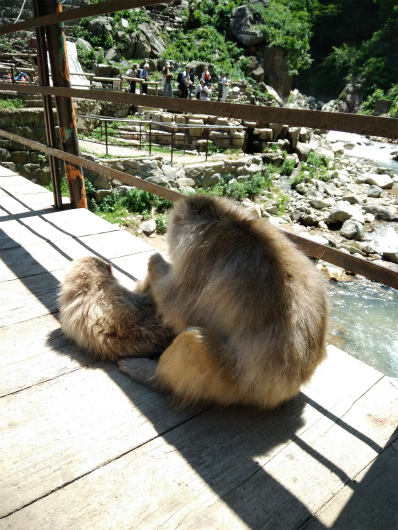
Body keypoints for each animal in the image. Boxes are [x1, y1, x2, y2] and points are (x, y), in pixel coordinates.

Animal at [119, 194, 330, 408]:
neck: (226, 218)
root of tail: (285, 391)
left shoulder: (198, 253)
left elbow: (177, 308)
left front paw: (156, 261)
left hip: (232, 385)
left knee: (194, 341)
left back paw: (149, 374)